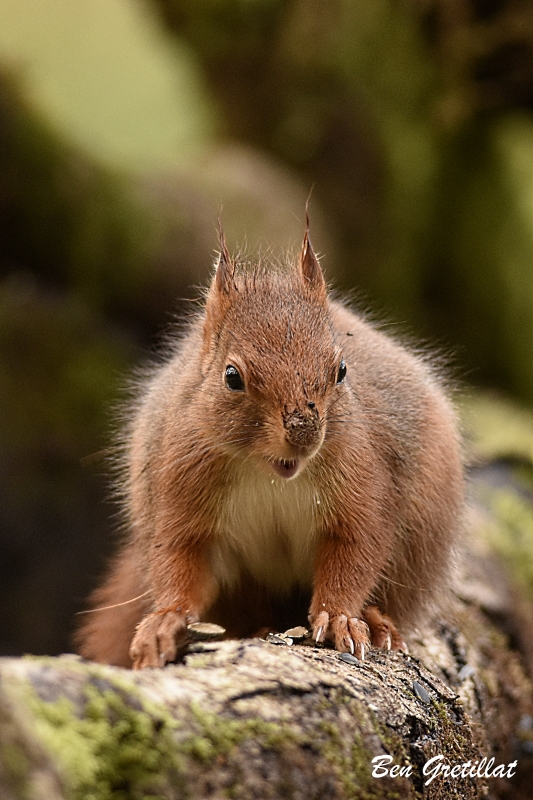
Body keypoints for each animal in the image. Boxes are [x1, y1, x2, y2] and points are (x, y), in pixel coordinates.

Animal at [75, 223, 462, 668]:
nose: (303, 434)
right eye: (231, 376)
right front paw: (164, 621)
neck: (270, 474)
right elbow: (180, 560)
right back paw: (257, 628)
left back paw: (377, 622)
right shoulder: (180, 488)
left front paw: (341, 618)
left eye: (341, 369)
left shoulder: (364, 482)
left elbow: (355, 552)